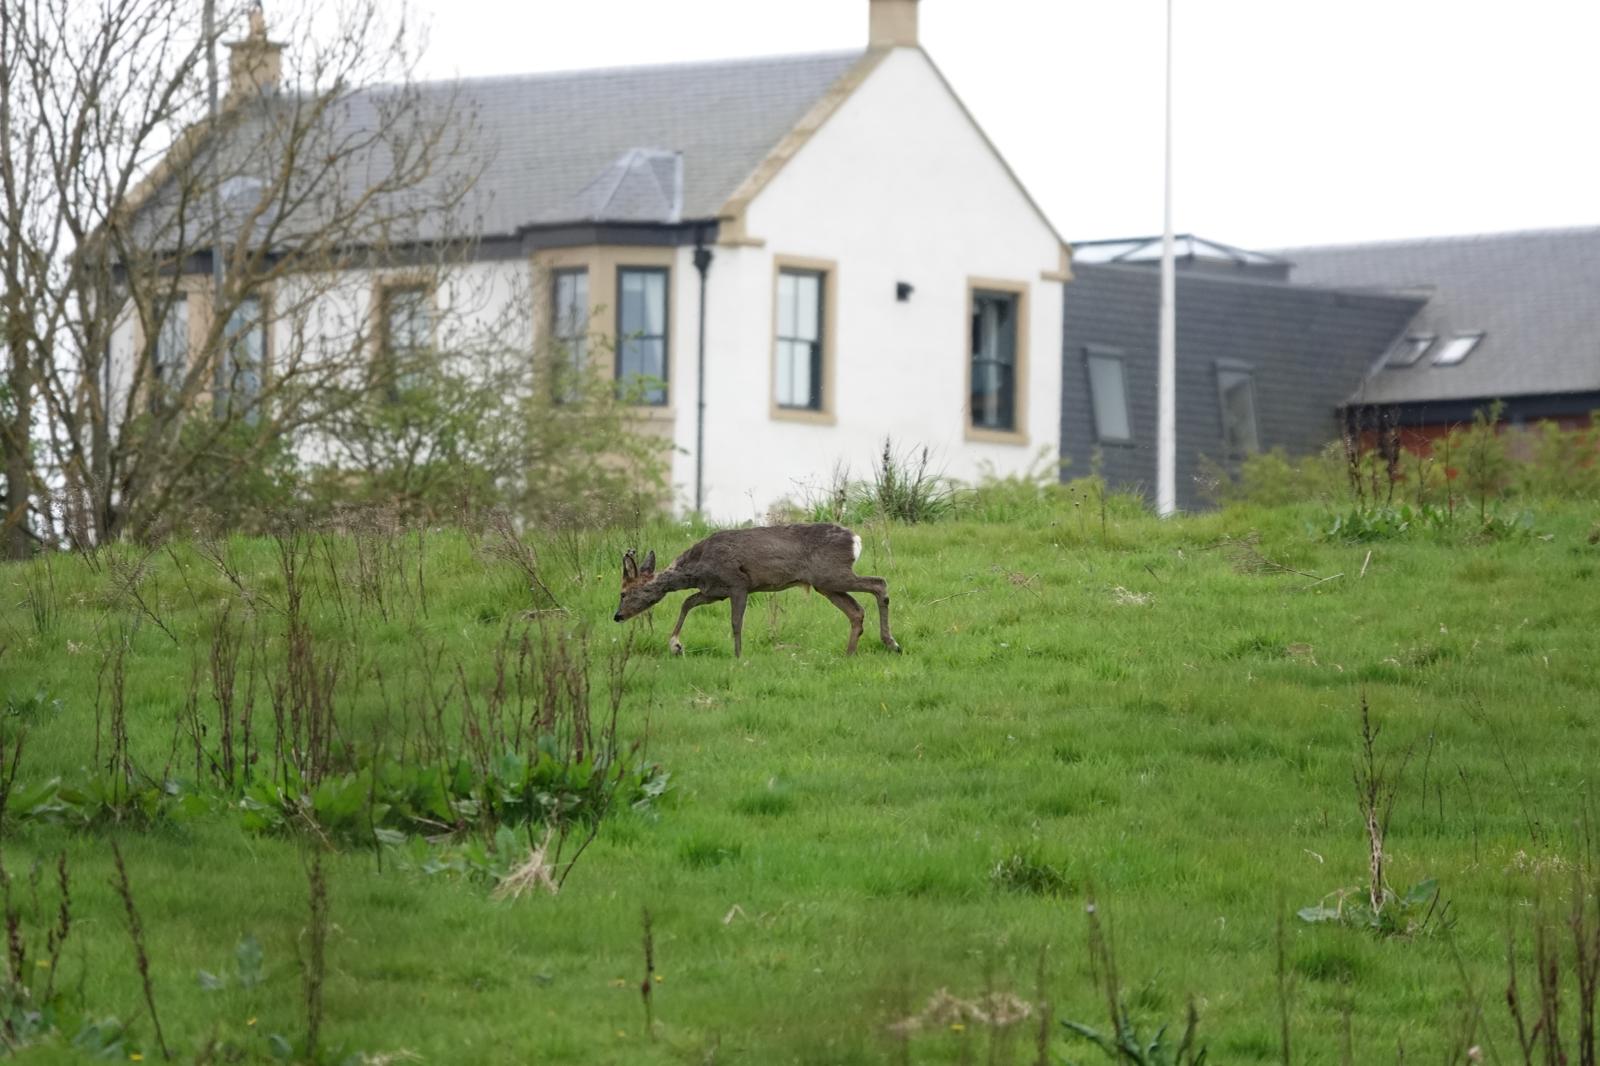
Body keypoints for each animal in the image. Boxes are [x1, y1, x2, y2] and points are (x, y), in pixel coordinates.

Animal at [612, 522, 902, 658]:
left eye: (623, 593)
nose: (617, 616)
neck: (698, 567)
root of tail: (856, 539)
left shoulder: (738, 583)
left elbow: (735, 622)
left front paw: (738, 656)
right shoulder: (714, 591)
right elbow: (687, 603)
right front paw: (675, 645)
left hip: (832, 575)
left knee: (879, 583)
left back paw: (892, 643)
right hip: (825, 584)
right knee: (856, 611)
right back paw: (849, 654)